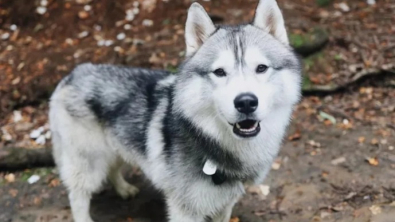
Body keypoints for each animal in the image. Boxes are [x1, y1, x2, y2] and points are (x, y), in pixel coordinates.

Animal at [50, 0, 304, 221]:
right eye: (219, 72)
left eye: (261, 68)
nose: (246, 102)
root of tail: (72, 74)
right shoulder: (185, 210)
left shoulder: (224, 204)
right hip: (88, 165)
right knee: (78, 197)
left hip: (116, 146)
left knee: (114, 168)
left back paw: (124, 189)